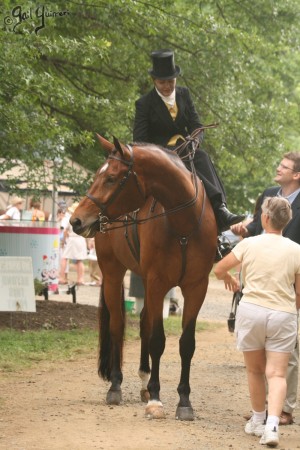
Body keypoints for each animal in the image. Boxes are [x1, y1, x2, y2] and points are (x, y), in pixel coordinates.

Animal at [70, 134, 218, 422]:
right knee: (118, 325)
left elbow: (186, 343)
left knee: (142, 323)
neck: (183, 223)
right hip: (113, 273)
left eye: (111, 178)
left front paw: (184, 401)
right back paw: (117, 385)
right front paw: (157, 399)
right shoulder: (157, 283)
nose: (76, 220)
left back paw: (143, 382)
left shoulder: (196, 287)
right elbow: (157, 340)